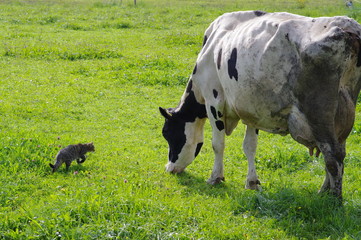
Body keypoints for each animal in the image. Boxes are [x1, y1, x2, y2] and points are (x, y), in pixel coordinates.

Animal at [158, 10, 361, 200]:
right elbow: (250, 146)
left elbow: (218, 144)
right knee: (339, 151)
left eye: (167, 133)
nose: (170, 168)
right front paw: (252, 182)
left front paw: (215, 177)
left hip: (318, 114)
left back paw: (334, 199)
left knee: (333, 154)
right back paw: (323, 192)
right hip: (342, 114)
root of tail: (347, 26)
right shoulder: (251, 110)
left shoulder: (214, 101)